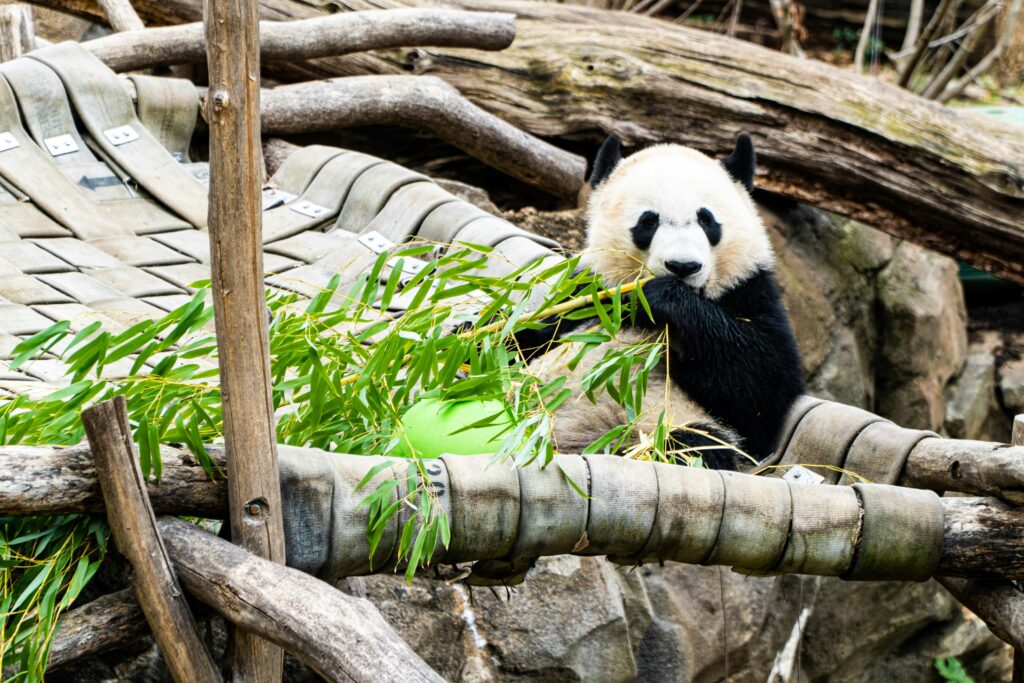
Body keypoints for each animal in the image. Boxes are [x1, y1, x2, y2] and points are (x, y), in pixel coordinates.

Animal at [518, 133, 804, 470]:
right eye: (648, 221)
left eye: (706, 220)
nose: (683, 266)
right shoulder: (590, 293)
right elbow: (533, 335)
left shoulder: (750, 290)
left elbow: (764, 391)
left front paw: (662, 298)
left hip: (667, 423)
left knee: (694, 444)